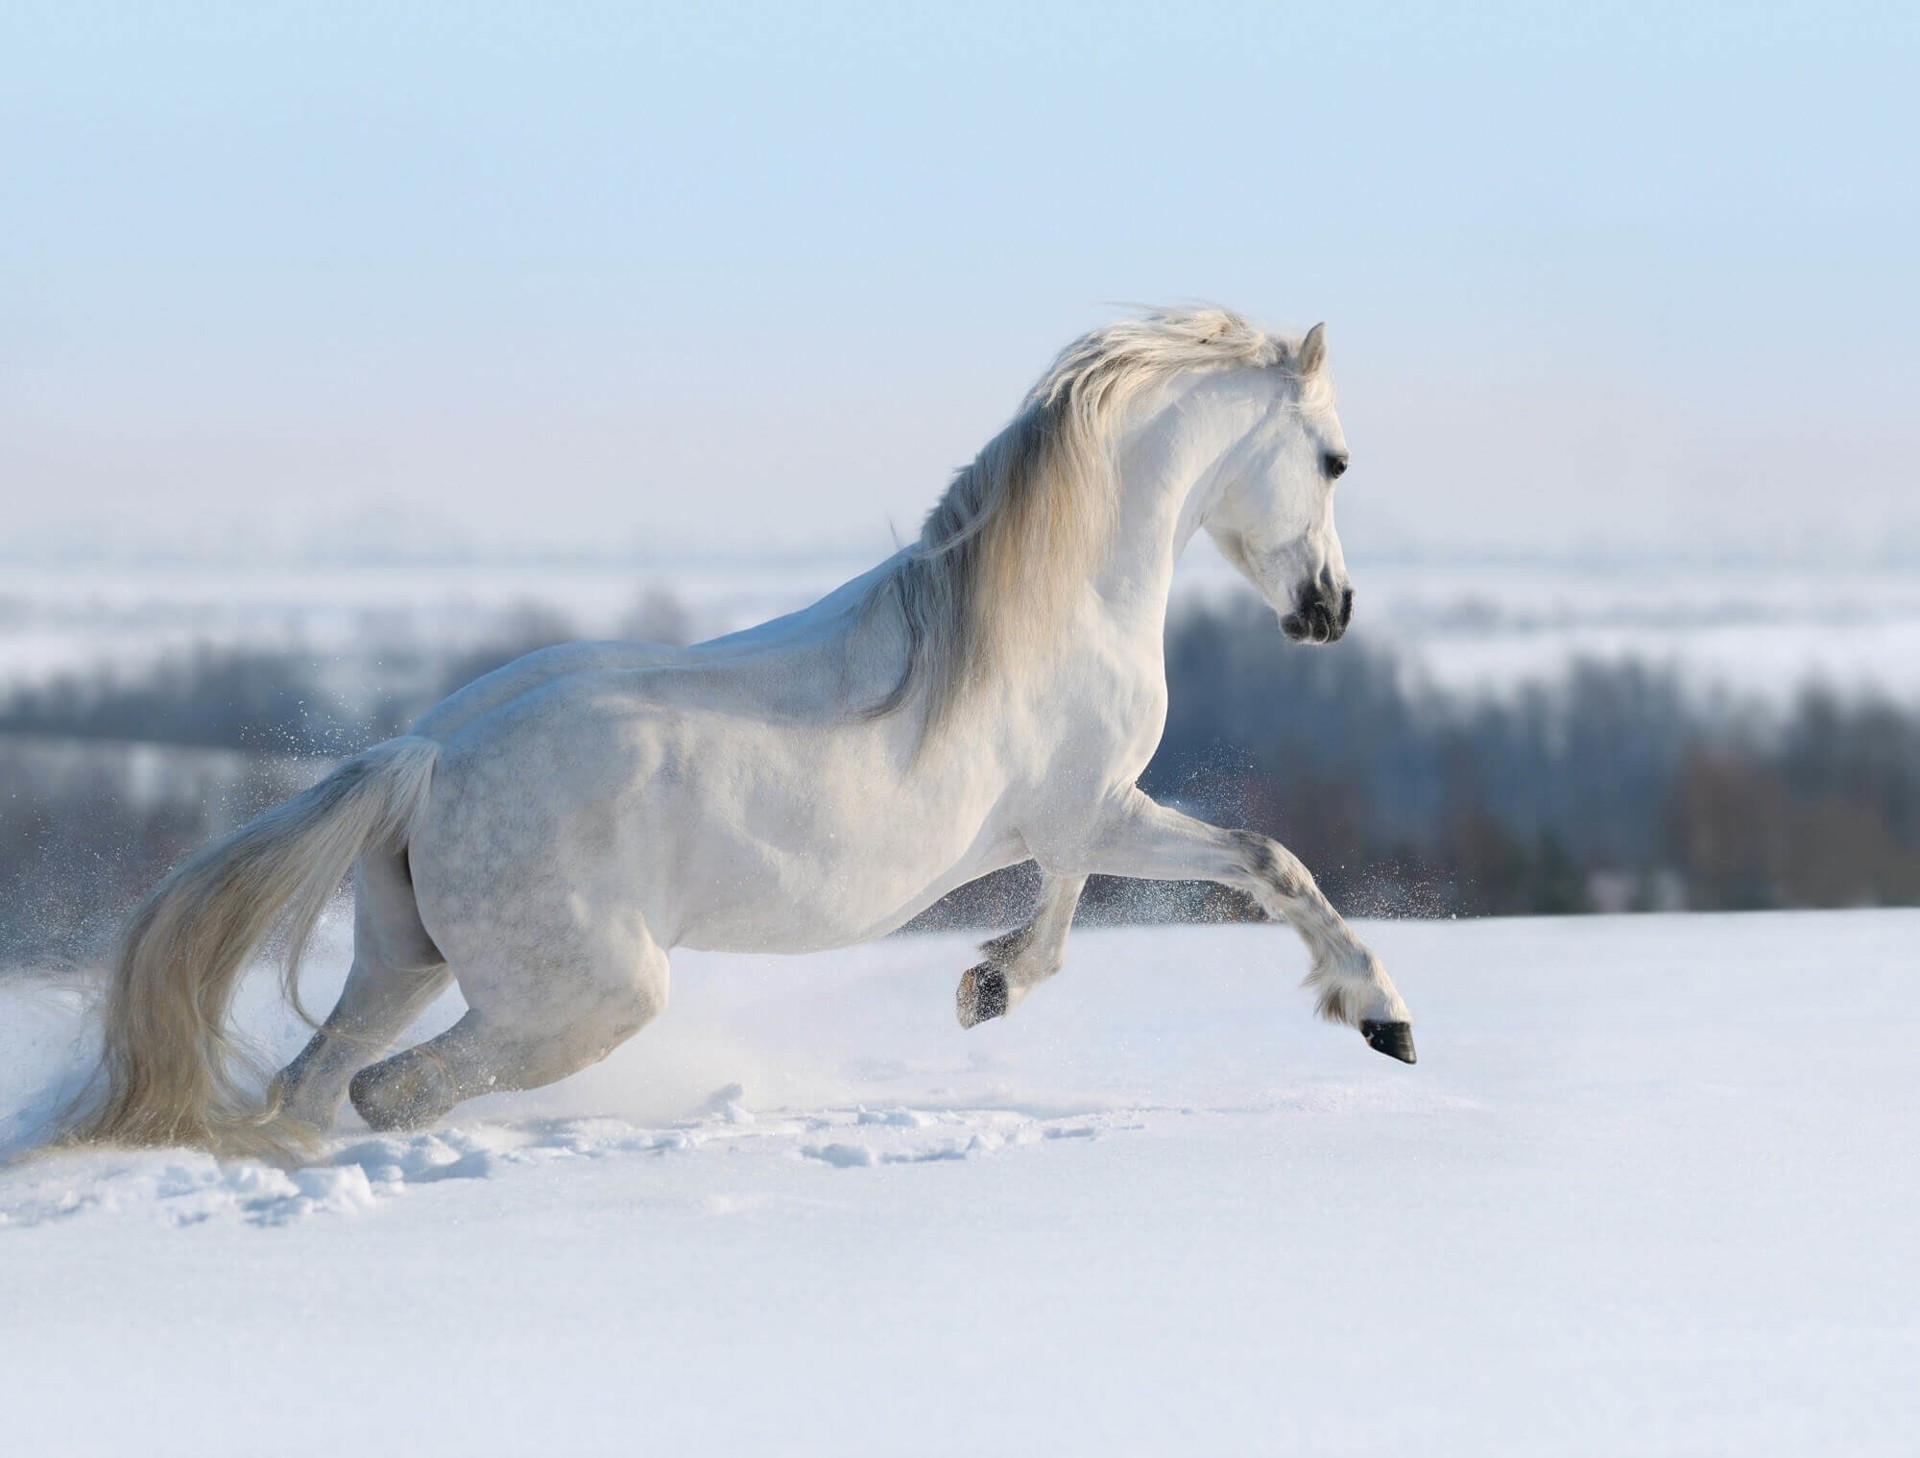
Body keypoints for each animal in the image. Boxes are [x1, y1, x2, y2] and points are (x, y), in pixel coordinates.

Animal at [69, 307, 1415, 1158]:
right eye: (1336, 461)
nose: (1332, 610)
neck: (1053, 604)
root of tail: (429, 760)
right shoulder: (1098, 809)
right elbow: (1268, 862)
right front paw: (1382, 1016)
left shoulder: (1071, 823)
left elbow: (1069, 907)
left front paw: (988, 985)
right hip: (586, 996)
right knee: (390, 1088)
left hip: (402, 958)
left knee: (314, 1082)